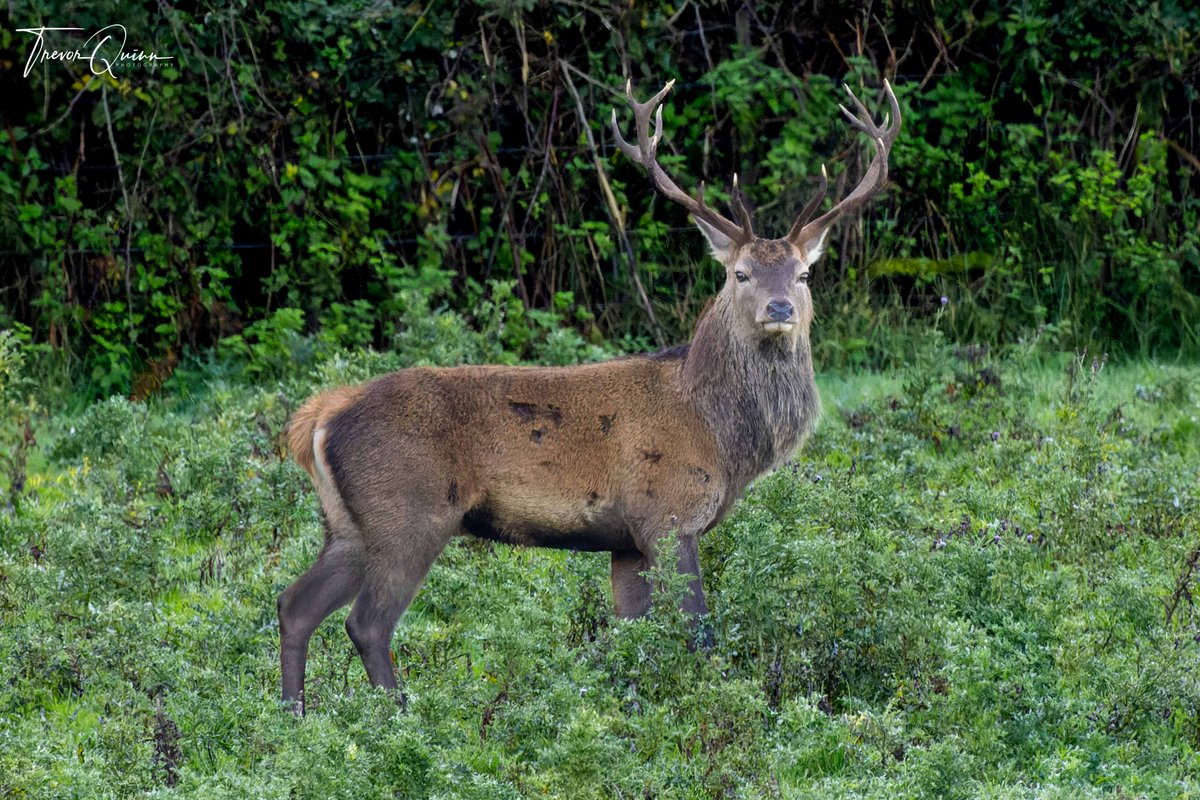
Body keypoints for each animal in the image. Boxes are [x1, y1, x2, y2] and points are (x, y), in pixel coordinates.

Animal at [279, 77, 901, 712]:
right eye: (740, 273)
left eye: (803, 274)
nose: (778, 309)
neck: (718, 435)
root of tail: (319, 419)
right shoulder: (667, 514)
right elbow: (698, 632)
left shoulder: (625, 541)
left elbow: (633, 637)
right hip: (410, 512)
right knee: (367, 622)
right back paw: (397, 717)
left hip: (349, 524)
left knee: (294, 604)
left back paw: (293, 717)